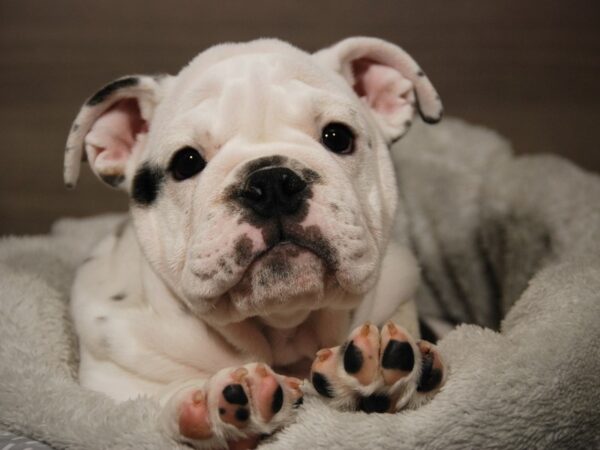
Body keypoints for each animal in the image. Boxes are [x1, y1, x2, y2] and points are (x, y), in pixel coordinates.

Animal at [67, 37, 446, 448]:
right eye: (186, 162)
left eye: (338, 136)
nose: (272, 182)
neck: (280, 327)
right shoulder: (113, 383)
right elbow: (150, 399)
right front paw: (212, 404)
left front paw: (375, 372)